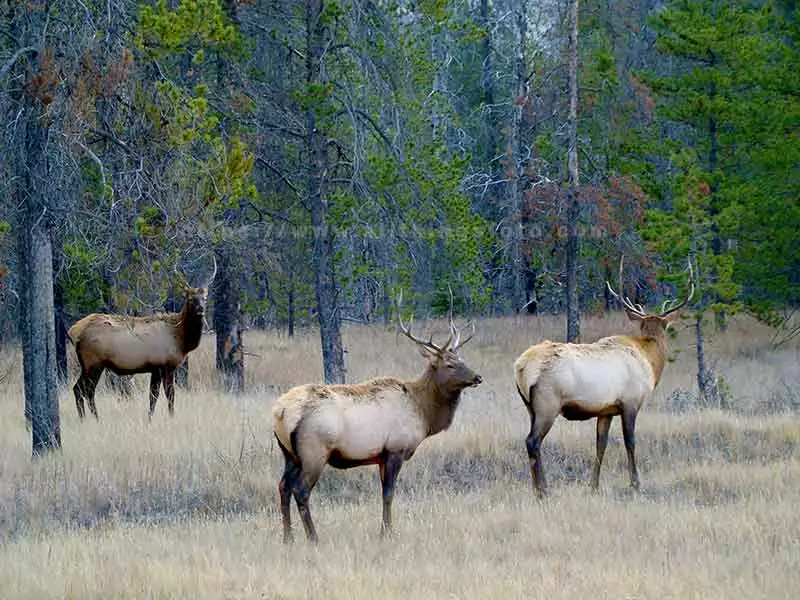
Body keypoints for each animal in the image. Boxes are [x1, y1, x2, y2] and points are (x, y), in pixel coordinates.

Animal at [67, 262, 216, 422]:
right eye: (190, 299)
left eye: (205, 298)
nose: (200, 309)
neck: (181, 338)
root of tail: (74, 332)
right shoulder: (165, 365)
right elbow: (169, 395)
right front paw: (171, 417)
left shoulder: (155, 368)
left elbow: (153, 397)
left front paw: (149, 419)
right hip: (94, 363)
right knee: (86, 391)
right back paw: (96, 419)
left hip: (88, 366)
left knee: (78, 389)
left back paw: (84, 419)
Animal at [274, 304, 482, 544]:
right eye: (449, 364)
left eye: (462, 359)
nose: (477, 377)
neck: (423, 411)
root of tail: (280, 411)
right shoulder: (395, 449)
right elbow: (389, 493)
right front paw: (388, 532)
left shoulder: (381, 456)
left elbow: (384, 493)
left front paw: (385, 530)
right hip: (314, 452)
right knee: (301, 490)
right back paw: (313, 538)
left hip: (289, 455)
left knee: (283, 487)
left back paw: (287, 538)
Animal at [512, 258, 692, 496]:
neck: (650, 361)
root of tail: (521, 367)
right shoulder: (630, 402)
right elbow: (630, 441)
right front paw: (635, 483)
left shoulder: (606, 410)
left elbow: (601, 444)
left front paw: (593, 485)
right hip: (547, 405)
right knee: (532, 441)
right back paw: (543, 490)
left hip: (530, 408)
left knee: (532, 442)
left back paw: (539, 489)